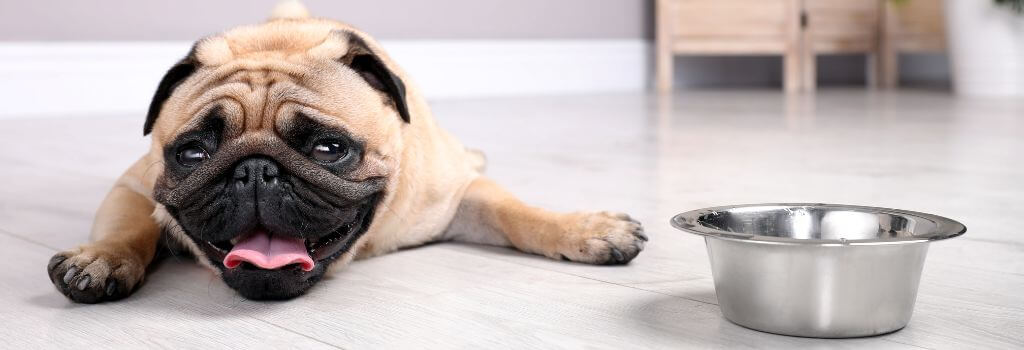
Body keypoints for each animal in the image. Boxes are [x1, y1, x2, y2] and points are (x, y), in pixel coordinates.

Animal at [48, 0, 643, 302]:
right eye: (192, 154)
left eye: (330, 148)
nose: (256, 170)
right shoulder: (134, 185)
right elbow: (130, 226)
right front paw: (101, 258)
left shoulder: (454, 200)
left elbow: (519, 213)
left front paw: (587, 229)